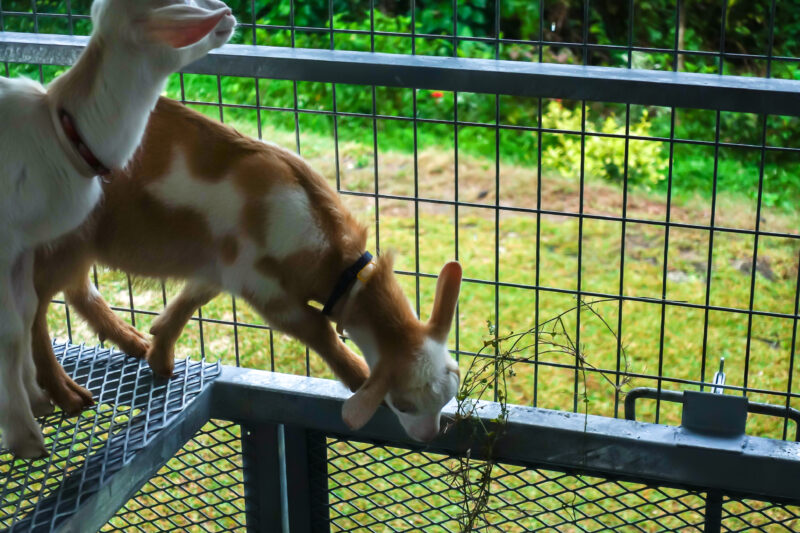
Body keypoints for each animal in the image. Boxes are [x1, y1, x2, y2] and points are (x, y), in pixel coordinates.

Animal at [0, 0, 236, 458]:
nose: (227, 13)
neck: (59, 137)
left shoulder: (22, 245)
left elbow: (22, 316)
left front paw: (36, 402)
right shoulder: (6, 241)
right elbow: (10, 330)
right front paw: (25, 438)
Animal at [34, 97, 462, 442]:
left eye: (451, 394)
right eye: (403, 404)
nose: (429, 437)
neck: (340, 268)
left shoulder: (220, 267)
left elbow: (190, 300)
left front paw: (160, 353)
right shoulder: (261, 285)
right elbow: (317, 329)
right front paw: (356, 374)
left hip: (79, 244)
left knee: (75, 289)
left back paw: (129, 340)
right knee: (34, 313)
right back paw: (64, 394)